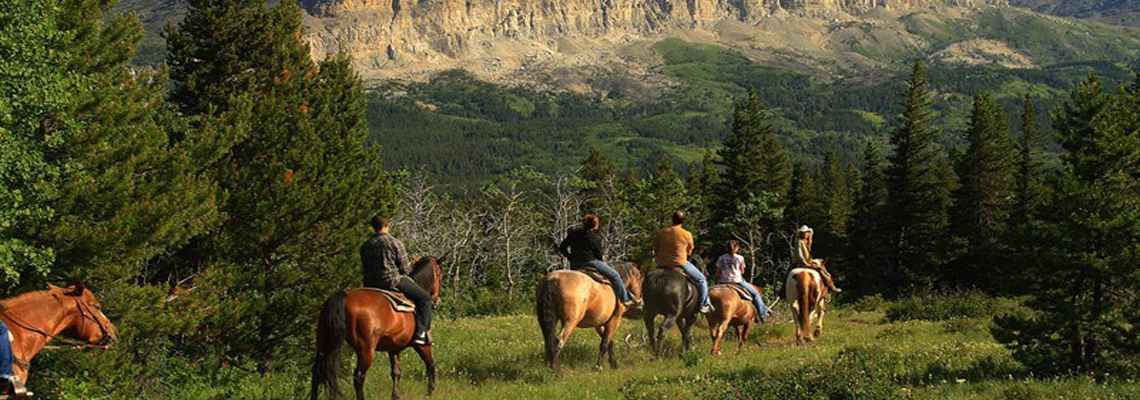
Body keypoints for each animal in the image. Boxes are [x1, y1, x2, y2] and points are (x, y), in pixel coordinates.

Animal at [312, 257, 444, 400]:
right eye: (439, 274)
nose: (437, 300)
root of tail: (343, 295)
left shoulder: (393, 347)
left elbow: (396, 372)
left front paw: (395, 395)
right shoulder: (423, 344)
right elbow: (430, 364)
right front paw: (430, 392)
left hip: (324, 344)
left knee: (317, 373)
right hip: (366, 350)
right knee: (358, 376)